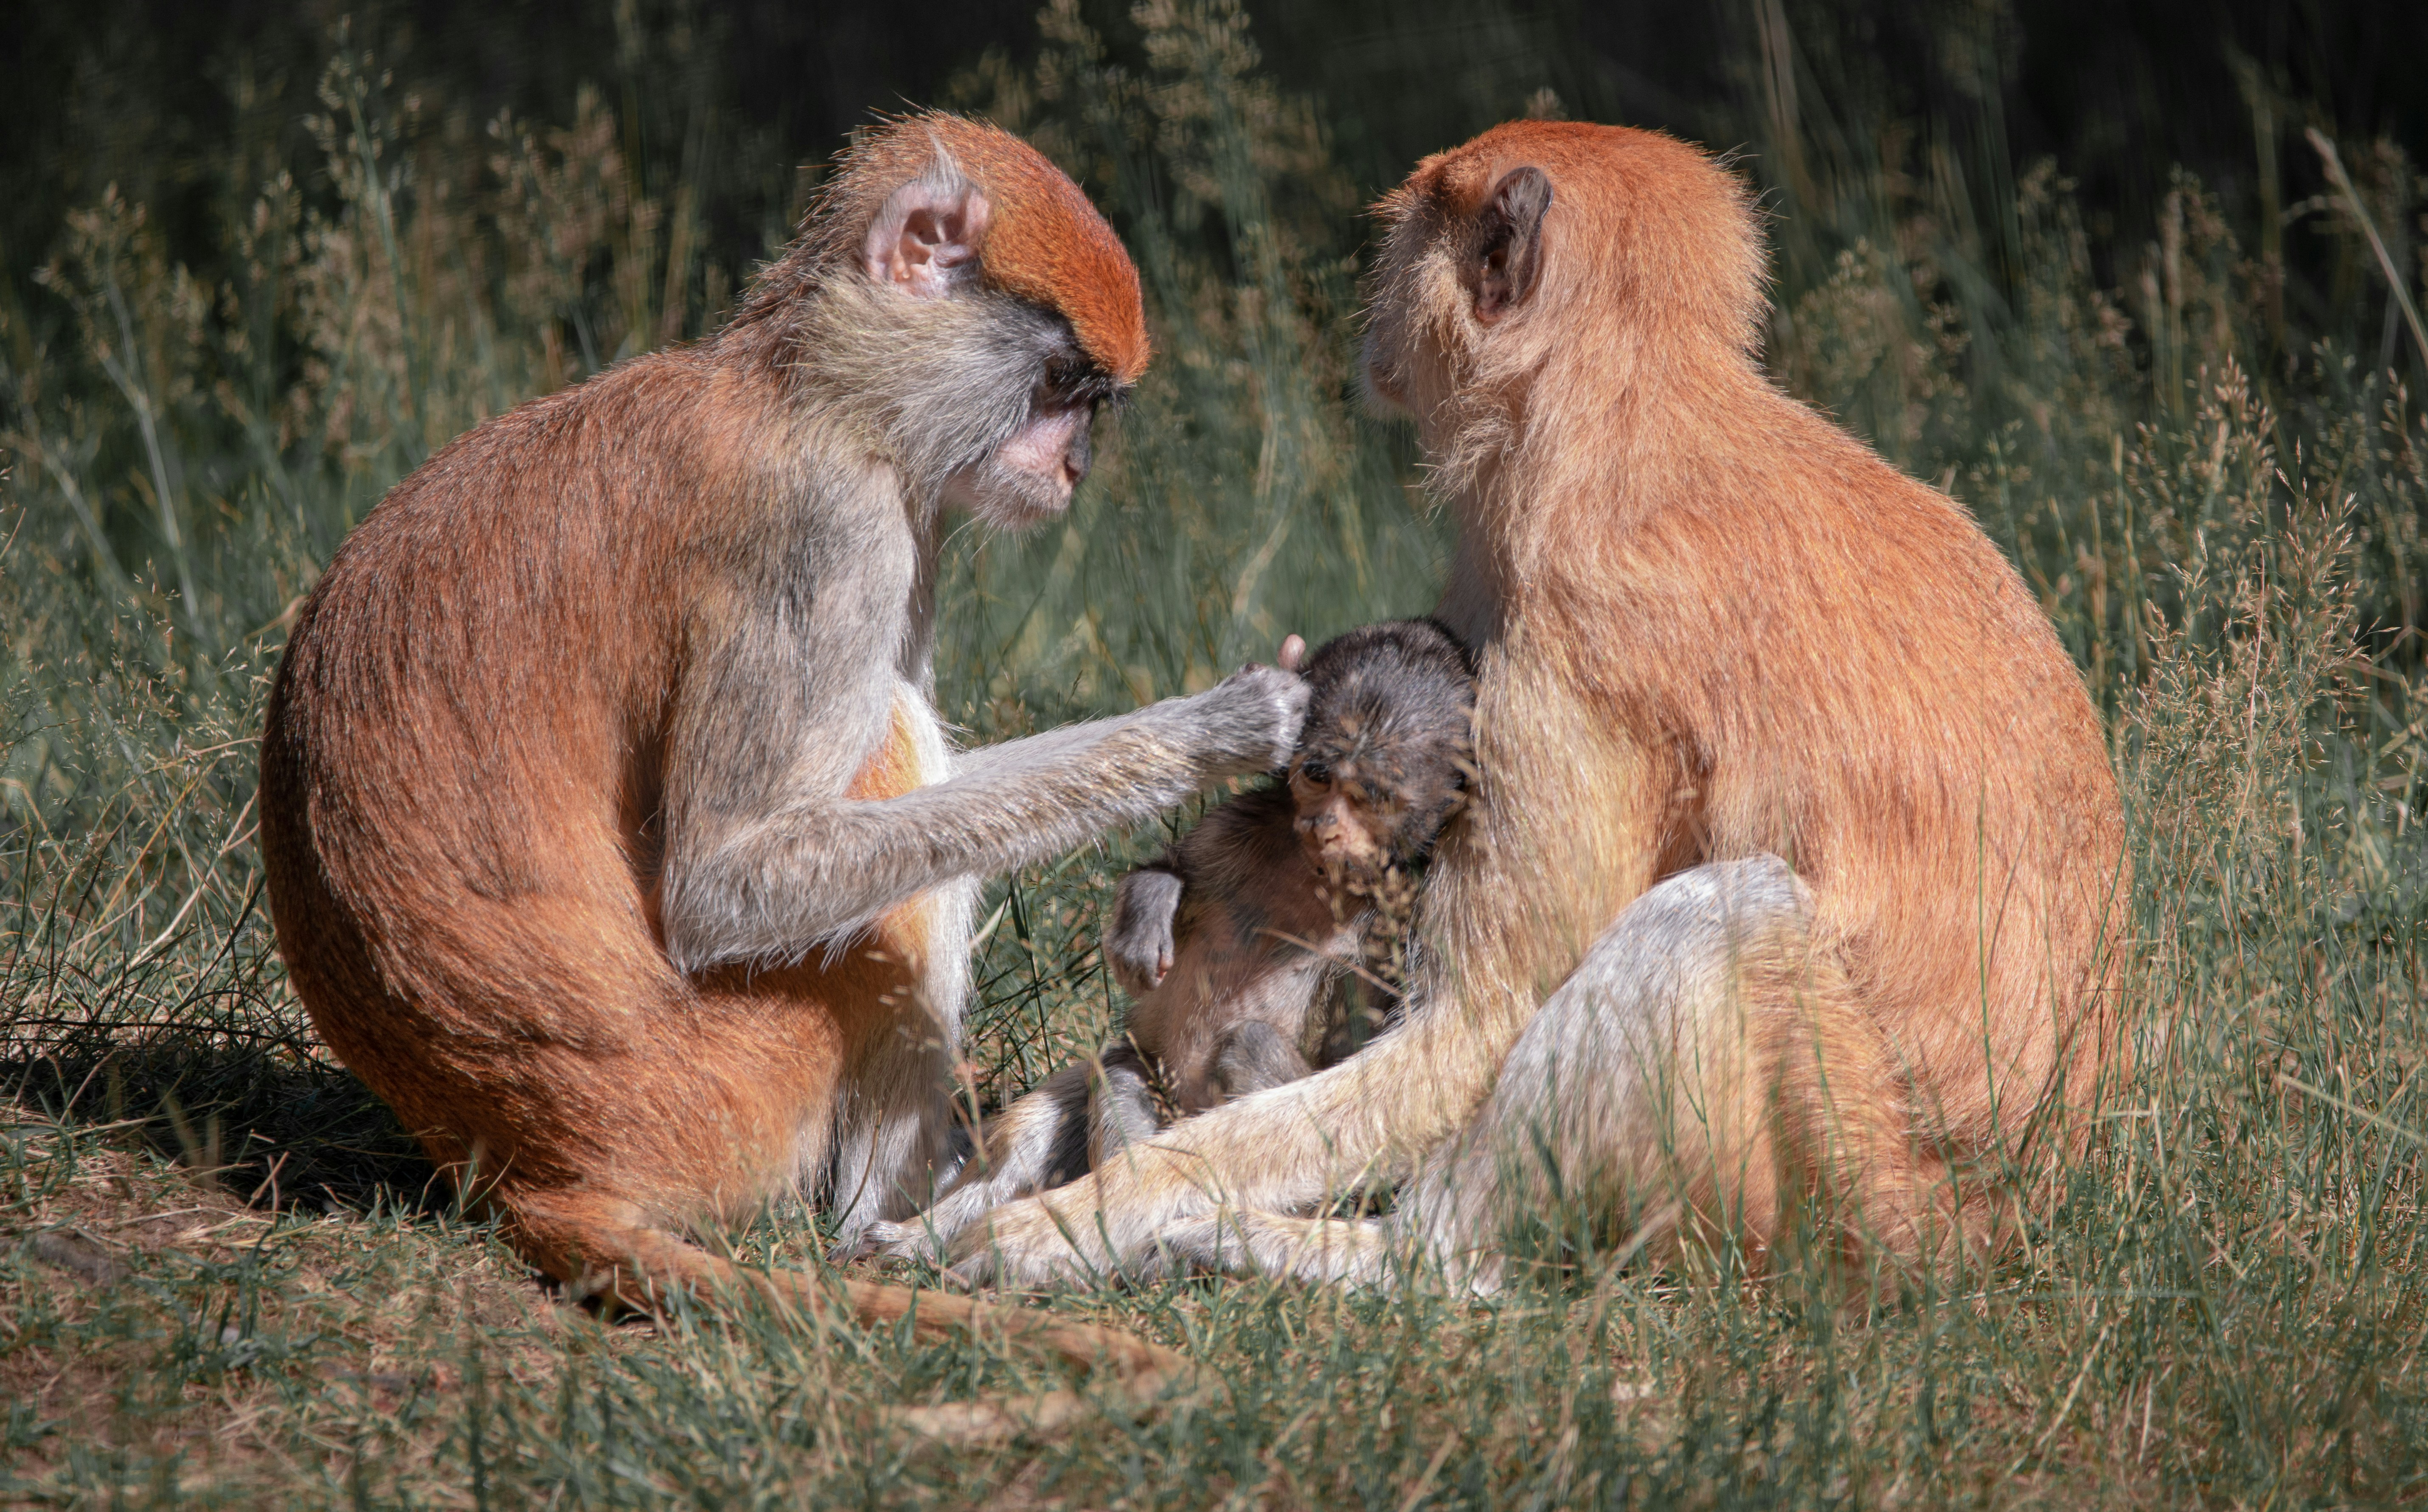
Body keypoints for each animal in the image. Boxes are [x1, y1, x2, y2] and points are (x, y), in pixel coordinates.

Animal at [256, 111, 1309, 1431]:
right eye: (1065, 388)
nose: (1069, 470)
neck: (814, 388)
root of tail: (538, 1158)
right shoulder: (828, 529)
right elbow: (730, 880)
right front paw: (1220, 726)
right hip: (733, 1081)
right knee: (894, 794)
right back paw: (882, 1216)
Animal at [853, 619, 1475, 1258]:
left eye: (1373, 797)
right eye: (1319, 776)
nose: (1326, 827)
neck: (1313, 874)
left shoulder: (1392, 915)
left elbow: (1358, 1049)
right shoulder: (1242, 823)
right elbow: (1173, 869)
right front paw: (1146, 923)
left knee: (1248, 1046)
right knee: (1124, 1074)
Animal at [938, 120, 2130, 1295]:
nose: (1375, 302)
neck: (1623, 414)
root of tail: (1996, 1219)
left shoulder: (1571, 649)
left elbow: (1480, 1022)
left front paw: (1074, 1218)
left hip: (1843, 1188)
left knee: (1720, 918)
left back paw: (1397, 1256)